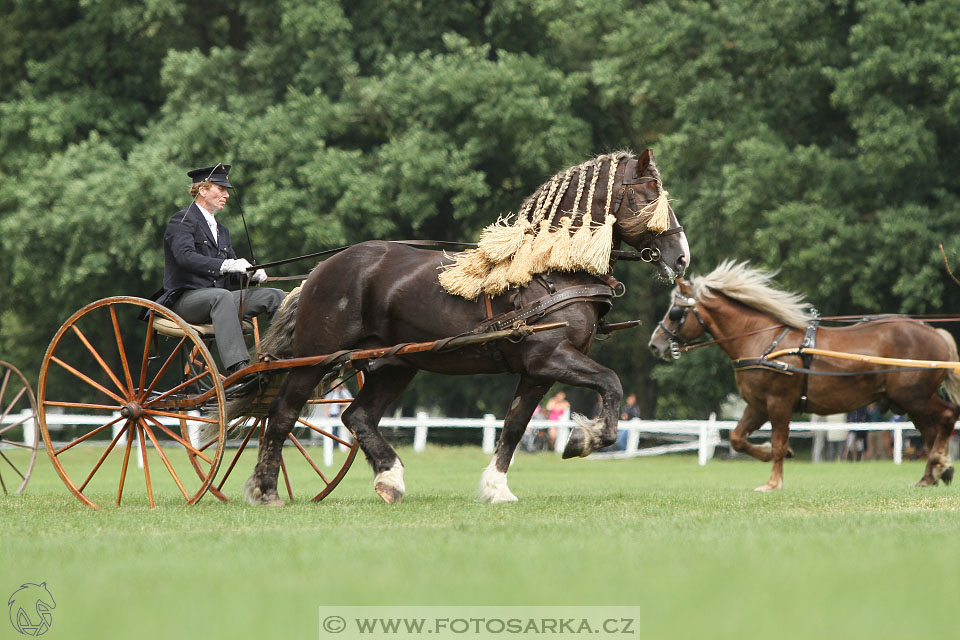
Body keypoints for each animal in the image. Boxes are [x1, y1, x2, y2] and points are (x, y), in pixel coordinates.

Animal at [240, 150, 688, 504]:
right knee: (282, 414)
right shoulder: (550, 358)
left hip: (395, 365)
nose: (682, 257)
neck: (552, 269)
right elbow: (611, 383)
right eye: (649, 194)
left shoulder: (537, 372)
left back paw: (390, 479)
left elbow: (514, 426)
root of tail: (320, 271)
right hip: (315, 358)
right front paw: (584, 439)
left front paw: (496, 488)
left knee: (358, 418)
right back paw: (266, 490)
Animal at [644, 262, 960, 492]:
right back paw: (932, 474)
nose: (655, 344)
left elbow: (779, 443)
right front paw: (770, 454)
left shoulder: (779, 403)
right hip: (909, 402)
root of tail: (934, 332)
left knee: (946, 417)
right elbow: (737, 438)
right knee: (931, 431)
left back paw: (938, 465)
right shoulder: (757, 406)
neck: (763, 340)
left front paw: (773, 482)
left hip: (915, 397)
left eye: (675, 312)